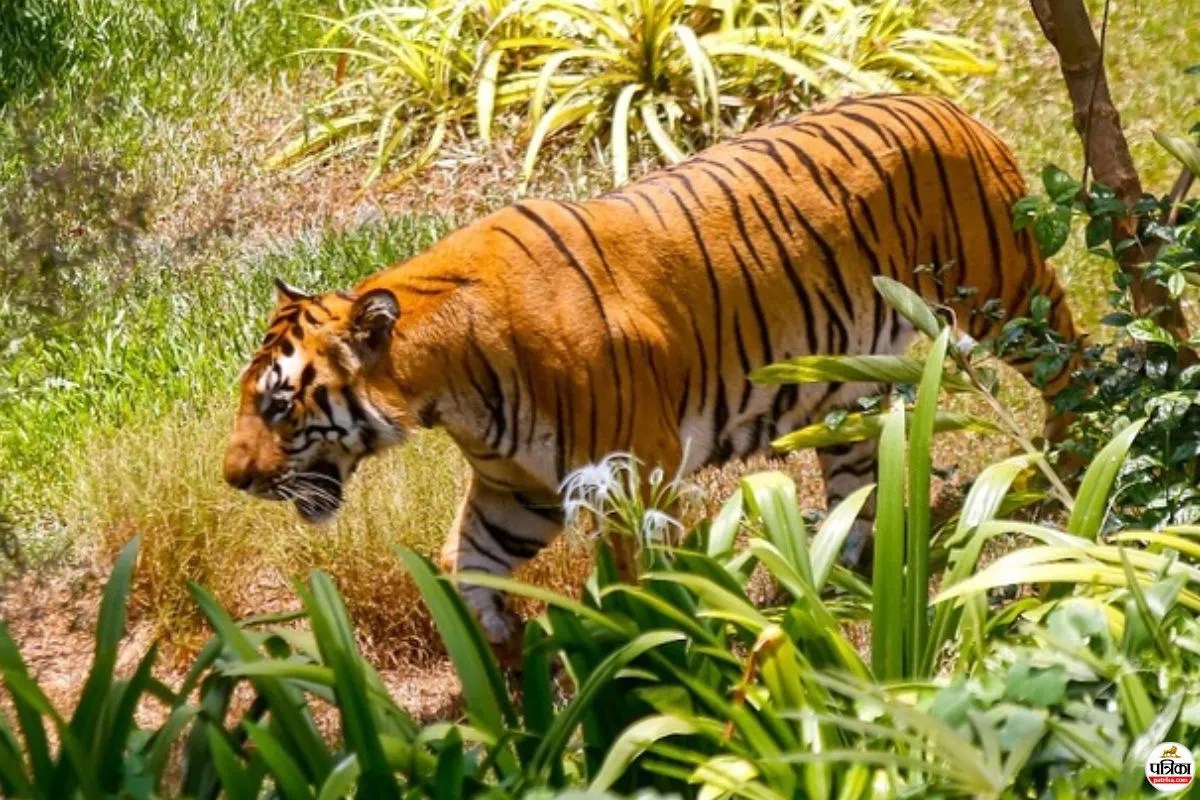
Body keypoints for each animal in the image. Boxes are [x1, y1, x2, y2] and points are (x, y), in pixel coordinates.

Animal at [223, 93, 1080, 648]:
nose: (232, 479)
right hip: (846, 383)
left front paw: (653, 647)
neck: (444, 387)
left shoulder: (633, 470)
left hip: (1006, 293)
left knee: (1079, 364)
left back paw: (1067, 473)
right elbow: (467, 559)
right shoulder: (516, 489)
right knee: (858, 480)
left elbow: (638, 577)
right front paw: (493, 642)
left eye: (277, 406)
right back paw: (836, 569)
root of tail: (952, 106)